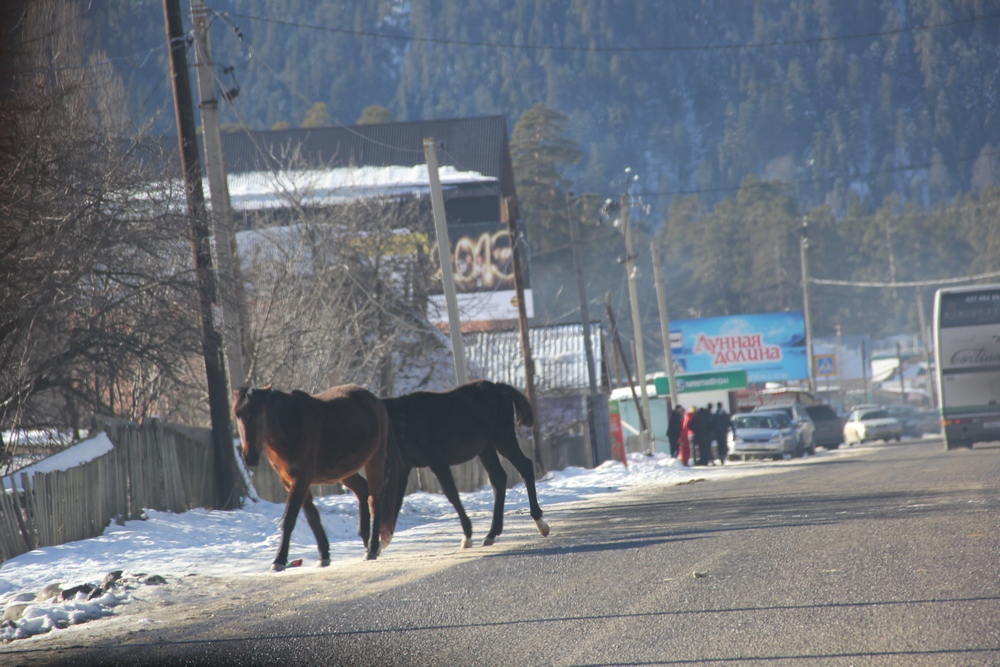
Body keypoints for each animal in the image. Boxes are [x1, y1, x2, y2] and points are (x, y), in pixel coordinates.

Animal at [234, 384, 402, 572]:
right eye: (237, 414)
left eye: (261, 413)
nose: (250, 458)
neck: (291, 426)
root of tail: (375, 401)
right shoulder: (290, 482)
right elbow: (312, 517)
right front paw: (323, 555)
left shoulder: (300, 479)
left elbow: (289, 519)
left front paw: (279, 560)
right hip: (343, 471)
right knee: (362, 491)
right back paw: (366, 540)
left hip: (375, 461)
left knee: (374, 500)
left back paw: (372, 548)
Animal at [384, 380, 556, 548]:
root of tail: (499, 388)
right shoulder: (404, 467)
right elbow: (394, 500)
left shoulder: (437, 461)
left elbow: (451, 493)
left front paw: (467, 536)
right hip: (486, 448)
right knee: (499, 478)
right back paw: (492, 533)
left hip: (503, 438)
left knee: (525, 467)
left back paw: (540, 523)